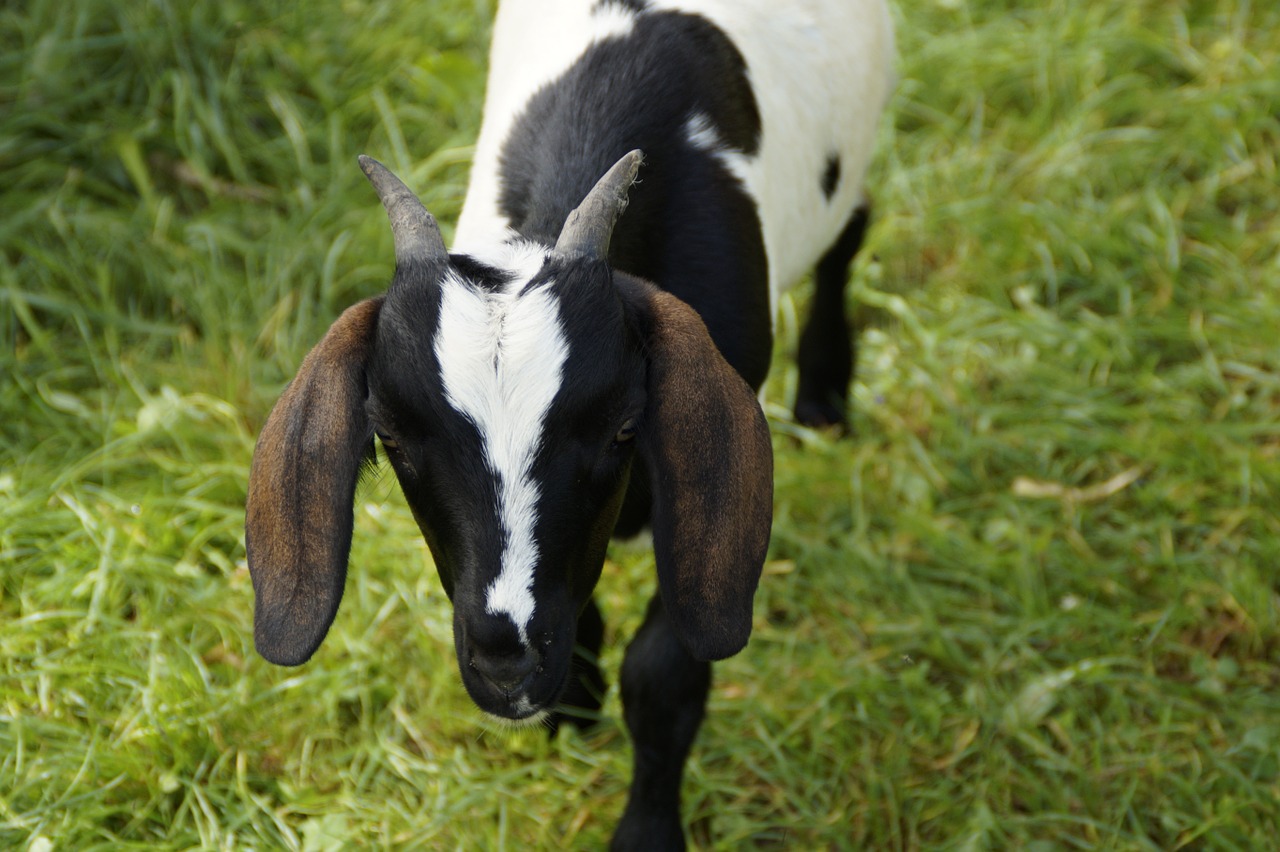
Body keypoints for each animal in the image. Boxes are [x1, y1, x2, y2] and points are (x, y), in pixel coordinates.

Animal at [244, 0, 896, 844]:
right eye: (389, 438)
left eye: (622, 427)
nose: (506, 660)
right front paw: (573, 700)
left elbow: (663, 674)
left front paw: (647, 833)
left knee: (851, 228)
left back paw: (823, 390)